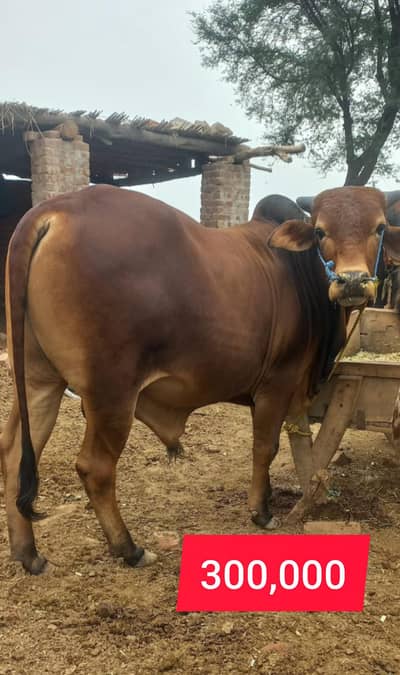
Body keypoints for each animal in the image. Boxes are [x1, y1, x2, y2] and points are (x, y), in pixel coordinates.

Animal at [1, 184, 400, 575]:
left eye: (379, 227)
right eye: (320, 231)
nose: (352, 282)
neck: (299, 272)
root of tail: (55, 209)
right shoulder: (277, 382)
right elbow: (265, 447)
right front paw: (261, 511)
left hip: (39, 381)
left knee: (15, 453)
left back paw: (29, 554)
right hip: (111, 393)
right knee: (95, 468)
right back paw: (128, 548)